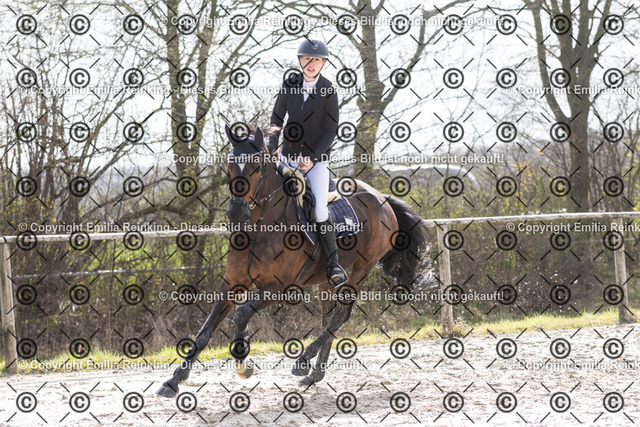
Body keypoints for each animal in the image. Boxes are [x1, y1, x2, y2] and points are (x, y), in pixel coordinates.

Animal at [156, 125, 433, 398]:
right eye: (231, 166)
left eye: (257, 166)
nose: (235, 214)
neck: (258, 229)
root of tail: (382, 199)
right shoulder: (232, 282)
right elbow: (206, 329)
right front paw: (173, 381)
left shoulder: (279, 287)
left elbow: (241, 313)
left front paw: (243, 364)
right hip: (326, 280)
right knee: (328, 315)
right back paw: (314, 375)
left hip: (363, 267)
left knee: (340, 314)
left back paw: (303, 361)